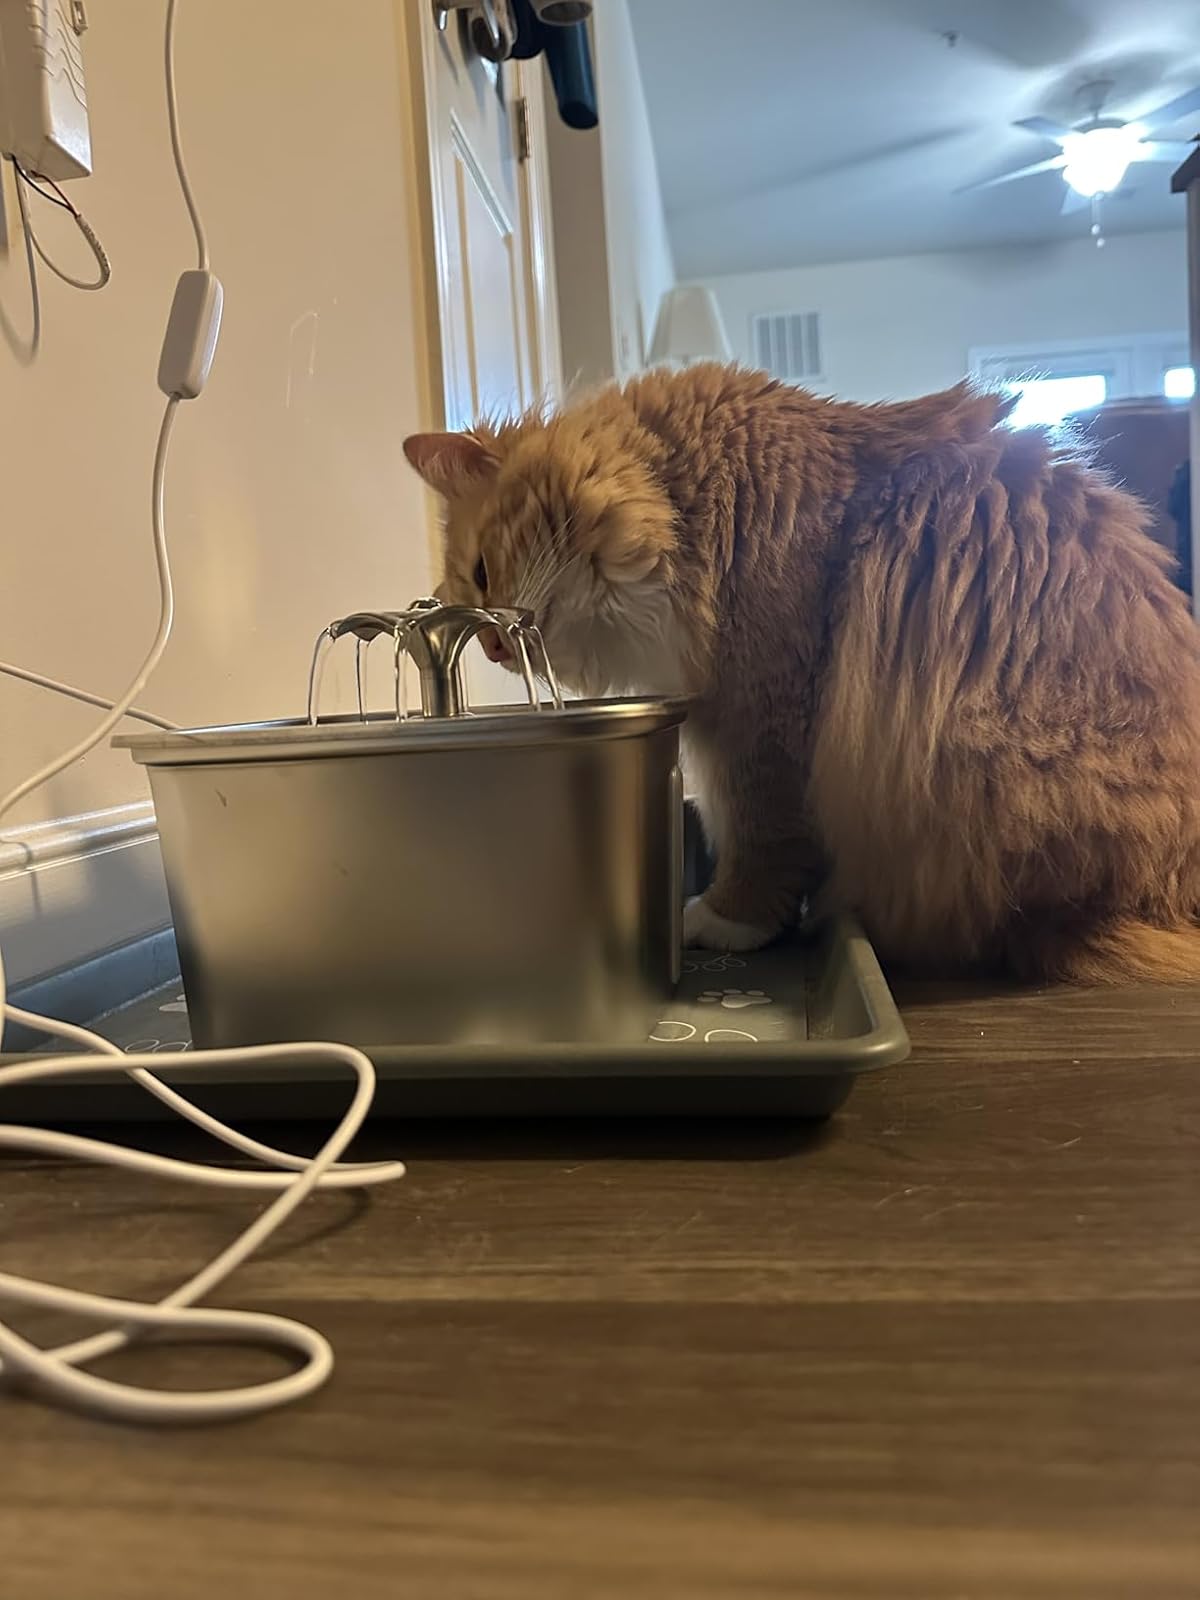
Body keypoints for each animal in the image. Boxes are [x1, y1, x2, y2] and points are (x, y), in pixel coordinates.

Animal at [404, 363, 1200, 983]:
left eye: (484, 574)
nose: (494, 651)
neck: (678, 495)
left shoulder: (765, 712)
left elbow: (765, 833)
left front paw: (725, 917)